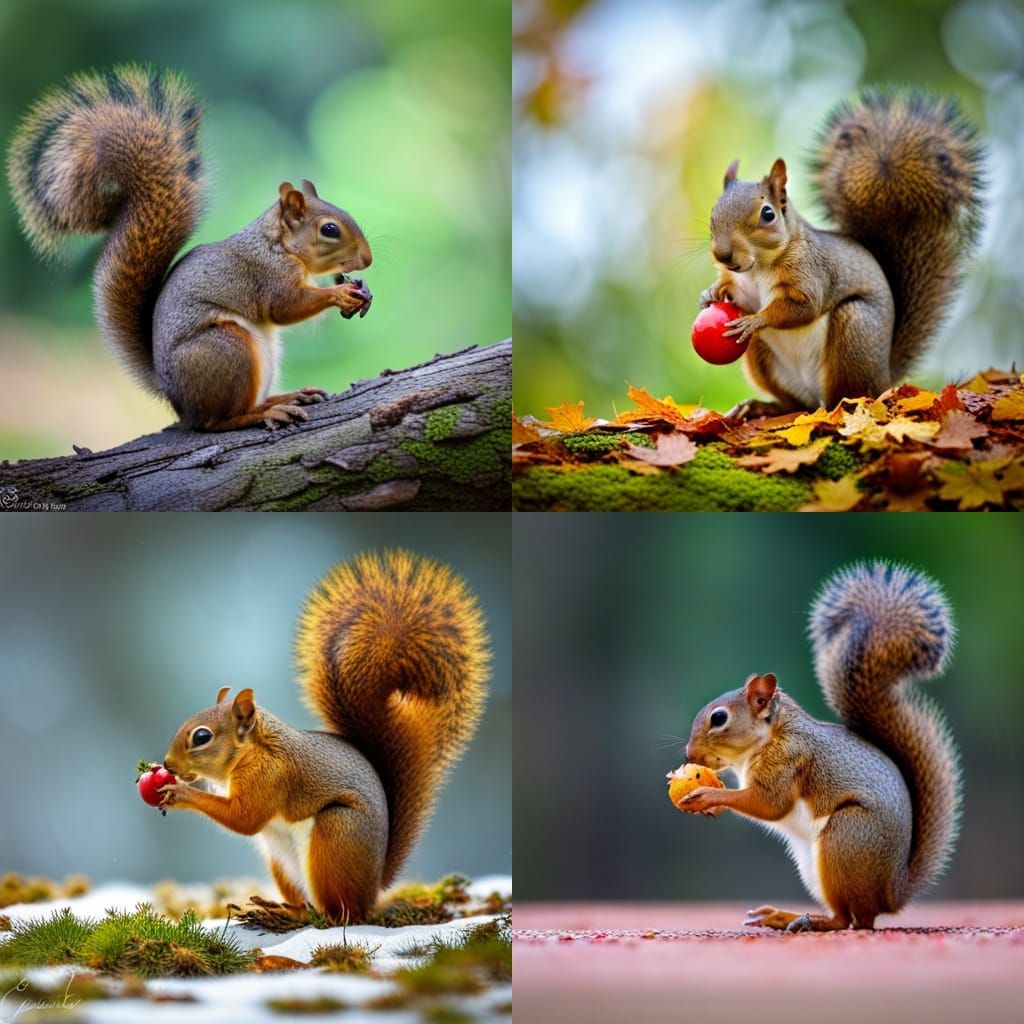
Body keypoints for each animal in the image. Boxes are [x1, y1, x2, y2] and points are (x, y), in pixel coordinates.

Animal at [7, 64, 373, 431]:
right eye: (329, 229)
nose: (367, 260)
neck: (278, 245)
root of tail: (177, 399)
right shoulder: (267, 276)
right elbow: (285, 307)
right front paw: (339, 294)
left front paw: (360, 293)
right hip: (227, 348)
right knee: (218, 420)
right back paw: (266, 412)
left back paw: (287, 397)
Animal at [158, 550, 489, 923]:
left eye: (202, 737)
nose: (167, 764)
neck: (250, 753)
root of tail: (371, 892)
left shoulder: (270, 776)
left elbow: (244, 819)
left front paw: (181, 793)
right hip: (281, 859)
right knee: (309, 903)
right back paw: (276, 907)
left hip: (333, 836)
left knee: (334, 915)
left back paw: (296, 916)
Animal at [677, 561, 958, 932]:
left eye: (719, 718)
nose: (689, 755)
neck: (770, 738)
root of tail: (892, 893)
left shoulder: (789, 760)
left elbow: (771, 805)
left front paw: (709, 796)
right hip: (813, 862)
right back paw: (782, 915)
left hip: (844, 839)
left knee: (852, 920)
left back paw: (807, 920)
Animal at [700, 90, 983, 416]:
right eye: (713, 213)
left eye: (768, 214)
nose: (723, 255)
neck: (757, 269)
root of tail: (885, 377)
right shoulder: (741, 283)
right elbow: (735, 291)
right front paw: (710, 292)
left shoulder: (812, 272)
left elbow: (803, 307)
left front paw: (755, 320)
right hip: (765, 359)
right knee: (796, 404)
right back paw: (762, 407)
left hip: (854, 330)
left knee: (847, 395)